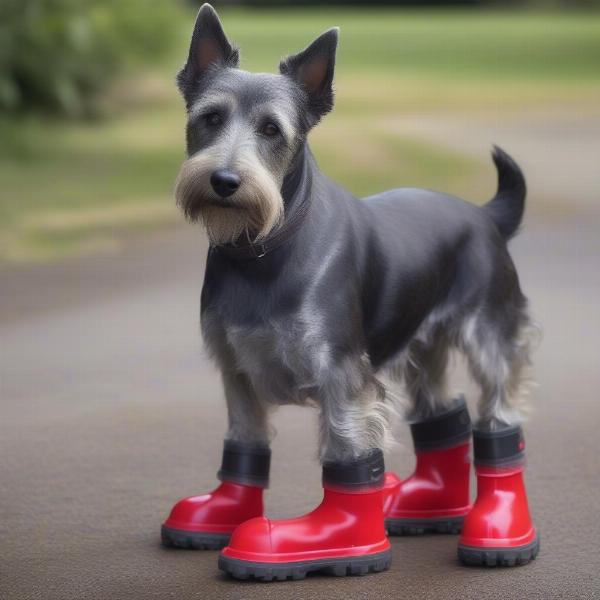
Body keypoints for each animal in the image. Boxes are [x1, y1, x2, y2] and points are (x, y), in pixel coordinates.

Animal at [163, 4, 540, 580]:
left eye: (271, 129)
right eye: (210, 117)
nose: (225, 180)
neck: (264, 249)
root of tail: (484, 217)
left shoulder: (341, 374)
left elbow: (348, 454)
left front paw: (335, 541)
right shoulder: (237, 368)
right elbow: (246, 443)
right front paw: (225, 512)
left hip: (492, 338)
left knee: (498, 421)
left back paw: (500, 529)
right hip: (423, 348)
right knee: (444, 416)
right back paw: (429, 505)